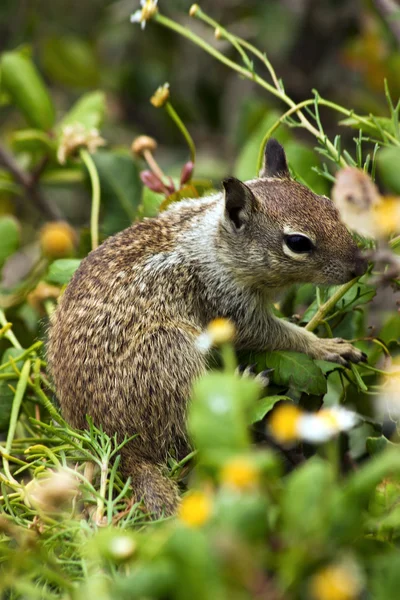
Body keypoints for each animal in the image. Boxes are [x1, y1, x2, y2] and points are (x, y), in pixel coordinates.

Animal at [46, 139, 366, 516]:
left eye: (330, 205)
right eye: (298, 243)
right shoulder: (229, 305)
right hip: (171, 349)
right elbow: (275, 334)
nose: (361, 265)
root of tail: (118, 445)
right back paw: (244, 388)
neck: (214, 243)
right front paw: (326, 345)